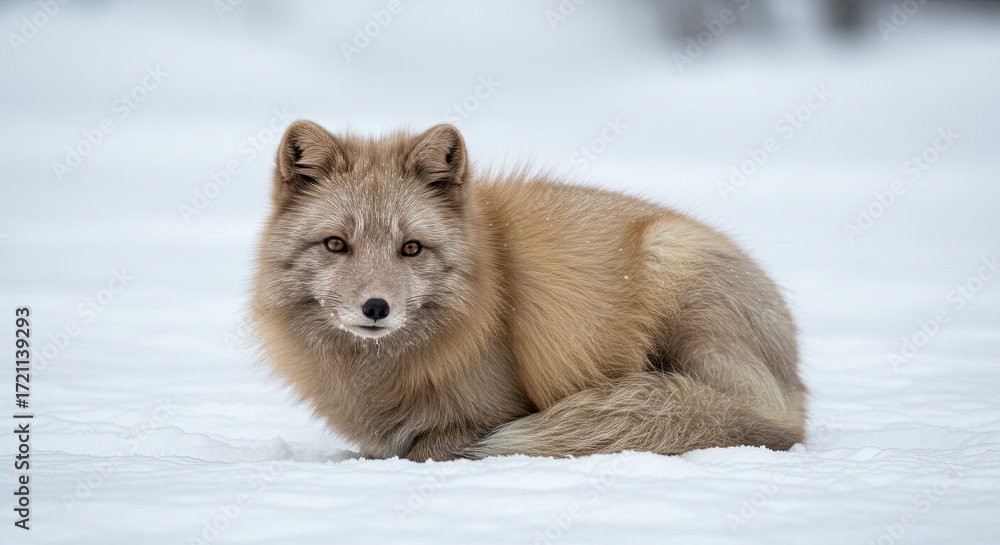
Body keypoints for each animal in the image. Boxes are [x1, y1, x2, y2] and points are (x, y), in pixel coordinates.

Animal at [252, 120, 807, 461]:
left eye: (410, 248)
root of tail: (796, 390)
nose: (375, 308)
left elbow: (429, 449)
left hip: (669, 264)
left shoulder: (493, 413)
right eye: (336, 244)